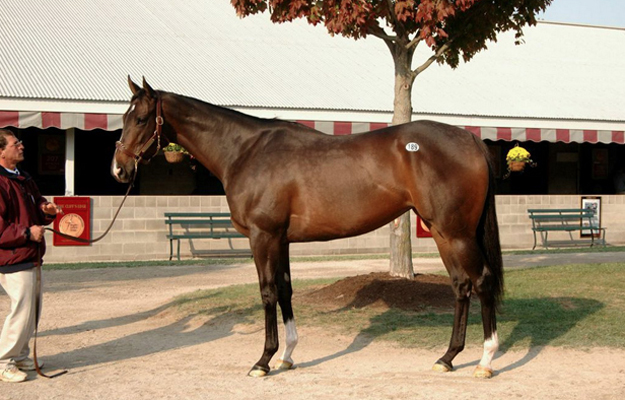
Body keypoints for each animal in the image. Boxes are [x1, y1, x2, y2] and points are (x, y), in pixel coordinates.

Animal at [111, 77, 502, 378]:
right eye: (124, 118)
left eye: (142, 118)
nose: (118, 170)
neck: (246, 151)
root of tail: (469, 139)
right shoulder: (281, 240)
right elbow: (285, 290)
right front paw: (286, 356)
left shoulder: (263, 237)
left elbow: (267, 292)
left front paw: (263, 361)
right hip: (442, 232)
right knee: (461, 285)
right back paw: (447, 358)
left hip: (456, 233)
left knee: (481, 281)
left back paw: (485, 361)